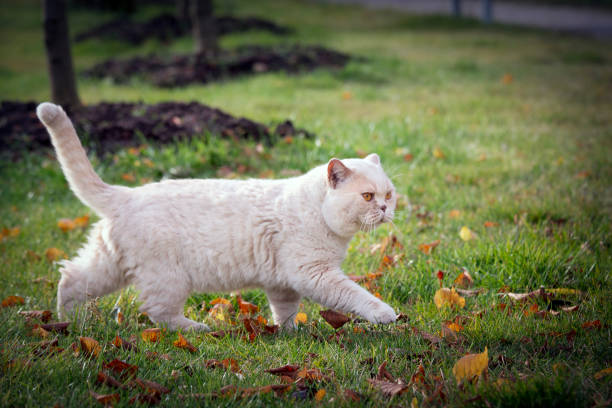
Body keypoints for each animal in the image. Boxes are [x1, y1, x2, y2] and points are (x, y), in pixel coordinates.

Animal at [35, 102, 400, 332]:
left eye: (389, 194)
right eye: (368, 197)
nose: (385, 209)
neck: (319, 213)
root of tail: (126, 194)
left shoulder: (282, 283)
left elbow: (285, 311)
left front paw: (289, 333)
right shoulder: (315, 274)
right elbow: (355, 295)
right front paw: (384, 315)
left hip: (109, 266)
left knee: (71, 279)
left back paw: (68, 321)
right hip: (168, 278)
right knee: (157, 312)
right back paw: (196, 328)